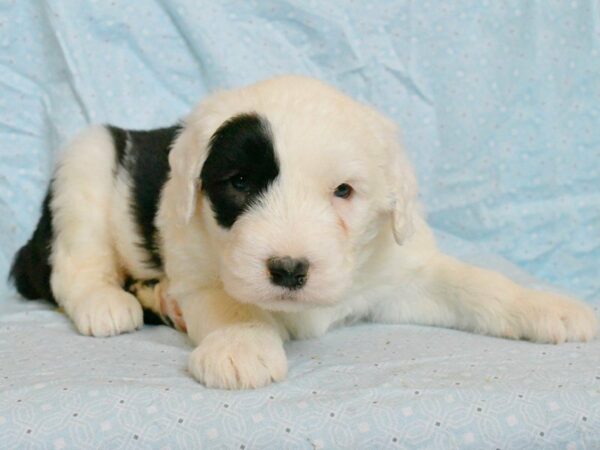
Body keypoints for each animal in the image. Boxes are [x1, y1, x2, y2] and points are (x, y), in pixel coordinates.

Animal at [10, 75, 600, 388]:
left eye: (344, 191)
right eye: (240, 182)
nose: (289, 269)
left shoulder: (404, 276)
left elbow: (478, 286)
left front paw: (549, 307)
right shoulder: (199, 273)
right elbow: (230, 303)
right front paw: (242, 345)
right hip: (86, 162)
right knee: (71, 265)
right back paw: (106, 303)